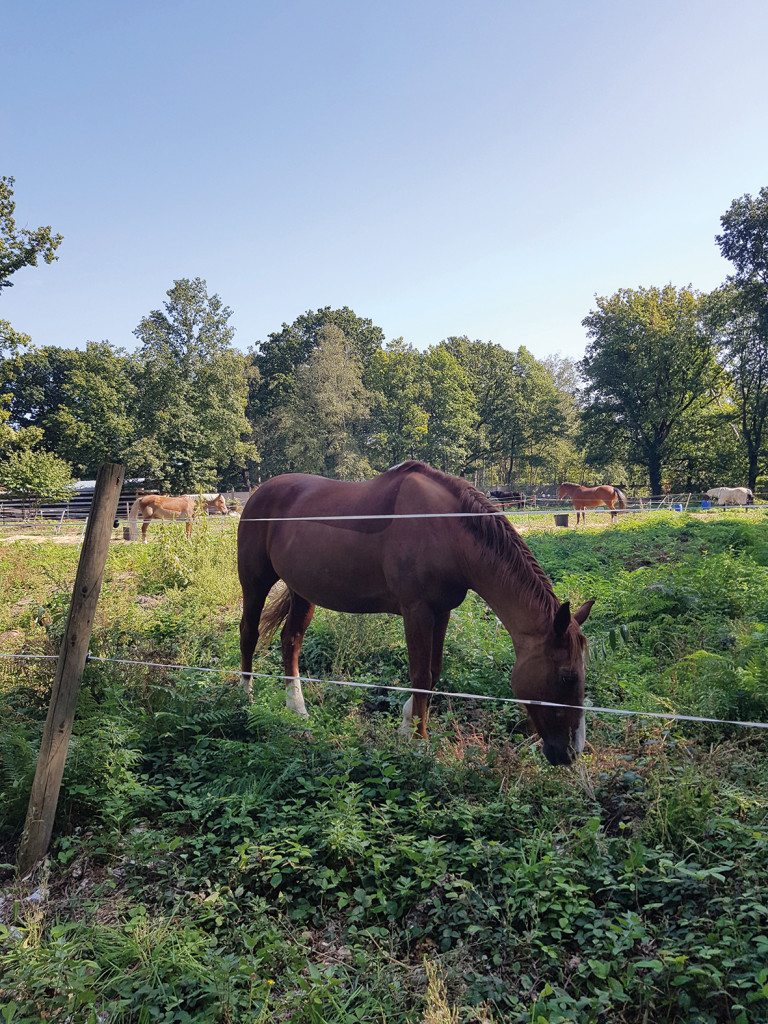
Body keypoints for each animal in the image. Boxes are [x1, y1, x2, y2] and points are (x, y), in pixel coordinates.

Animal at [237, 461, 595, 766]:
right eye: (567, 676)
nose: (572, 753)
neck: (447, 530)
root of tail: (261, 491)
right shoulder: (417, 611)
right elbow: (421, 676)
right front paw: (418, 741)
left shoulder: (442, 611)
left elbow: (433, 673)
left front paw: (408, 724)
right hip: (255, 583)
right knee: (249, 633)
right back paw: (246, 697)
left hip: (302, 592)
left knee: (291, 640)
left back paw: (296, 709)